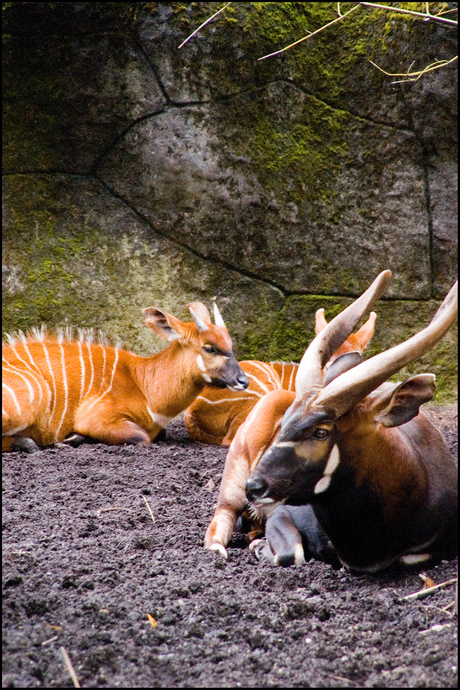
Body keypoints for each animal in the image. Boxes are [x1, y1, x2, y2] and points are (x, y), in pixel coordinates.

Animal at [2, 300, 248, 452]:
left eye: (230, 345)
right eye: (209, 348)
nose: (243, 381)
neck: (143, 383)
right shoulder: (96, 418)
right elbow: (141, 436)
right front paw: (72, 438)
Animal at [244, 272, 456, 568]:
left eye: (321, 431)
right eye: (285, 420)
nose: (254, 487)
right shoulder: (282, 512)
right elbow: (291, 554)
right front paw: (258, 546)